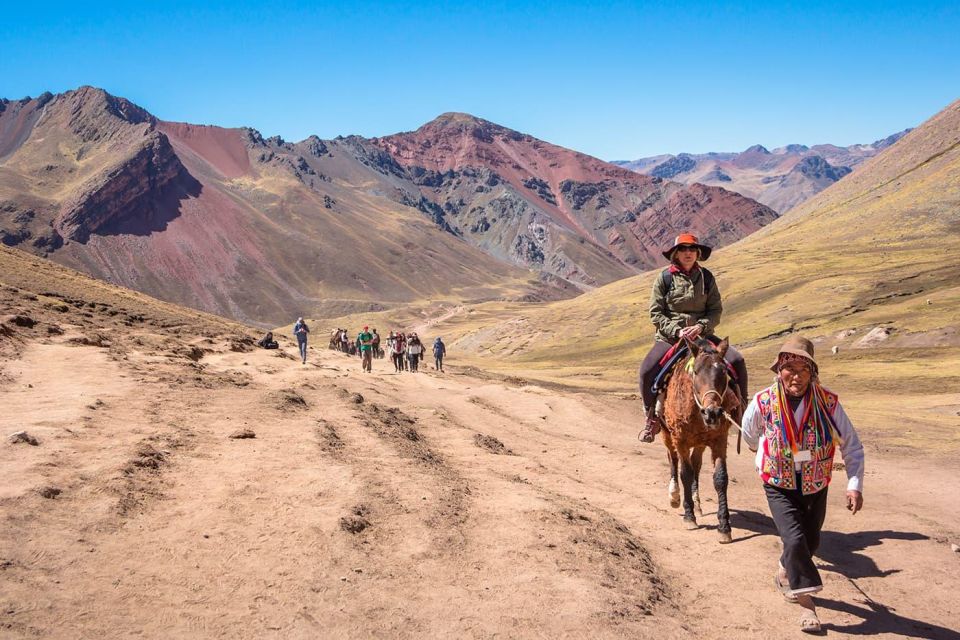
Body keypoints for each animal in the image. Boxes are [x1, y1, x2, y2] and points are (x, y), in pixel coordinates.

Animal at [660, 338, 744, 544]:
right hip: (667, 435)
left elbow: (720, 478)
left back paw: (697, 503)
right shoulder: (680, 440)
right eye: (696, 371)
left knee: (696, 464)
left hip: (699, 444)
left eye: (724, 372)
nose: (712, 413)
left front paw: (724, 527)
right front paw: (689, 516)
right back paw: (675, 496)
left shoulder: (719, 440)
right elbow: (685, 474)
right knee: (673, 460)